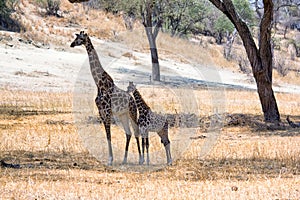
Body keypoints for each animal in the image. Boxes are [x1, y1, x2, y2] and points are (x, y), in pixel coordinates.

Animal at [70, 31, 143, 166]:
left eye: (80, 38)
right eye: (75, 37)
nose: (71, 44)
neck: (99, 84)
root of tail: (132, 99)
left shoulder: (107, 112)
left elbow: (109, 135)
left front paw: (110, 160)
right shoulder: (101, 112)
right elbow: (107, 136)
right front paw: (110, 159)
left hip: (132, 112)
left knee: (136, 131)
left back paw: (141, 159)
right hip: (123, 115)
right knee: (128, 133)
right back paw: (124, 160)